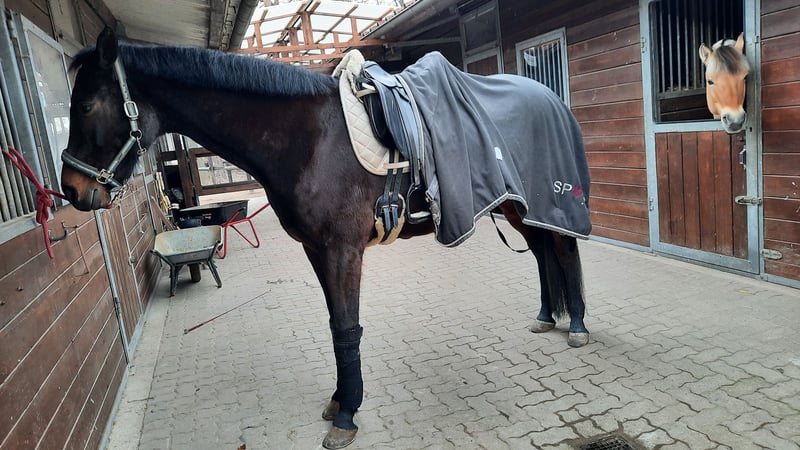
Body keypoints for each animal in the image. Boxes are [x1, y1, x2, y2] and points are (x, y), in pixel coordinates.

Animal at [60, 28, 589, 449]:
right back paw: (548, 316)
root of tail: (548, 98)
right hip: (516, 207)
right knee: (543, 254)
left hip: (540, 204)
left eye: (84, 104)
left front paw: (347, 415)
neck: (310, 139)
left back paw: (578, 326)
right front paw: (339, 400)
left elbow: (347, 329)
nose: (72, 189)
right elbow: (336, 326)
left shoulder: (343, 251)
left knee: (562, 251)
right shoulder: (317, 250)